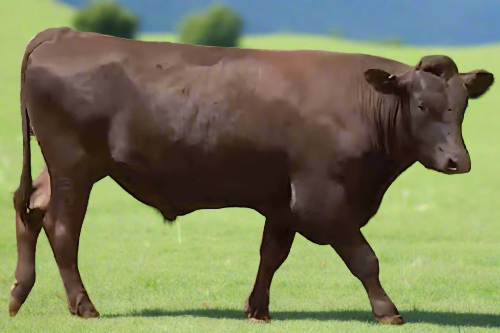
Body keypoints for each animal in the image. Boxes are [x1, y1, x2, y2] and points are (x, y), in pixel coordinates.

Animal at [9, 27, 494, 322]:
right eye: (421, 105)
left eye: (462, 106)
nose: (459, 160)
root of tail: (65, 35)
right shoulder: (321, 201)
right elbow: (364, 258)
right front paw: (387, 310)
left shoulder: (284, 201)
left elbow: (271, 254)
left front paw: (257, 308)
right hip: (74, 168)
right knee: (62, 229)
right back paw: (83, 305)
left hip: (58, 169)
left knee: (29, 210)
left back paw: (18, 293)